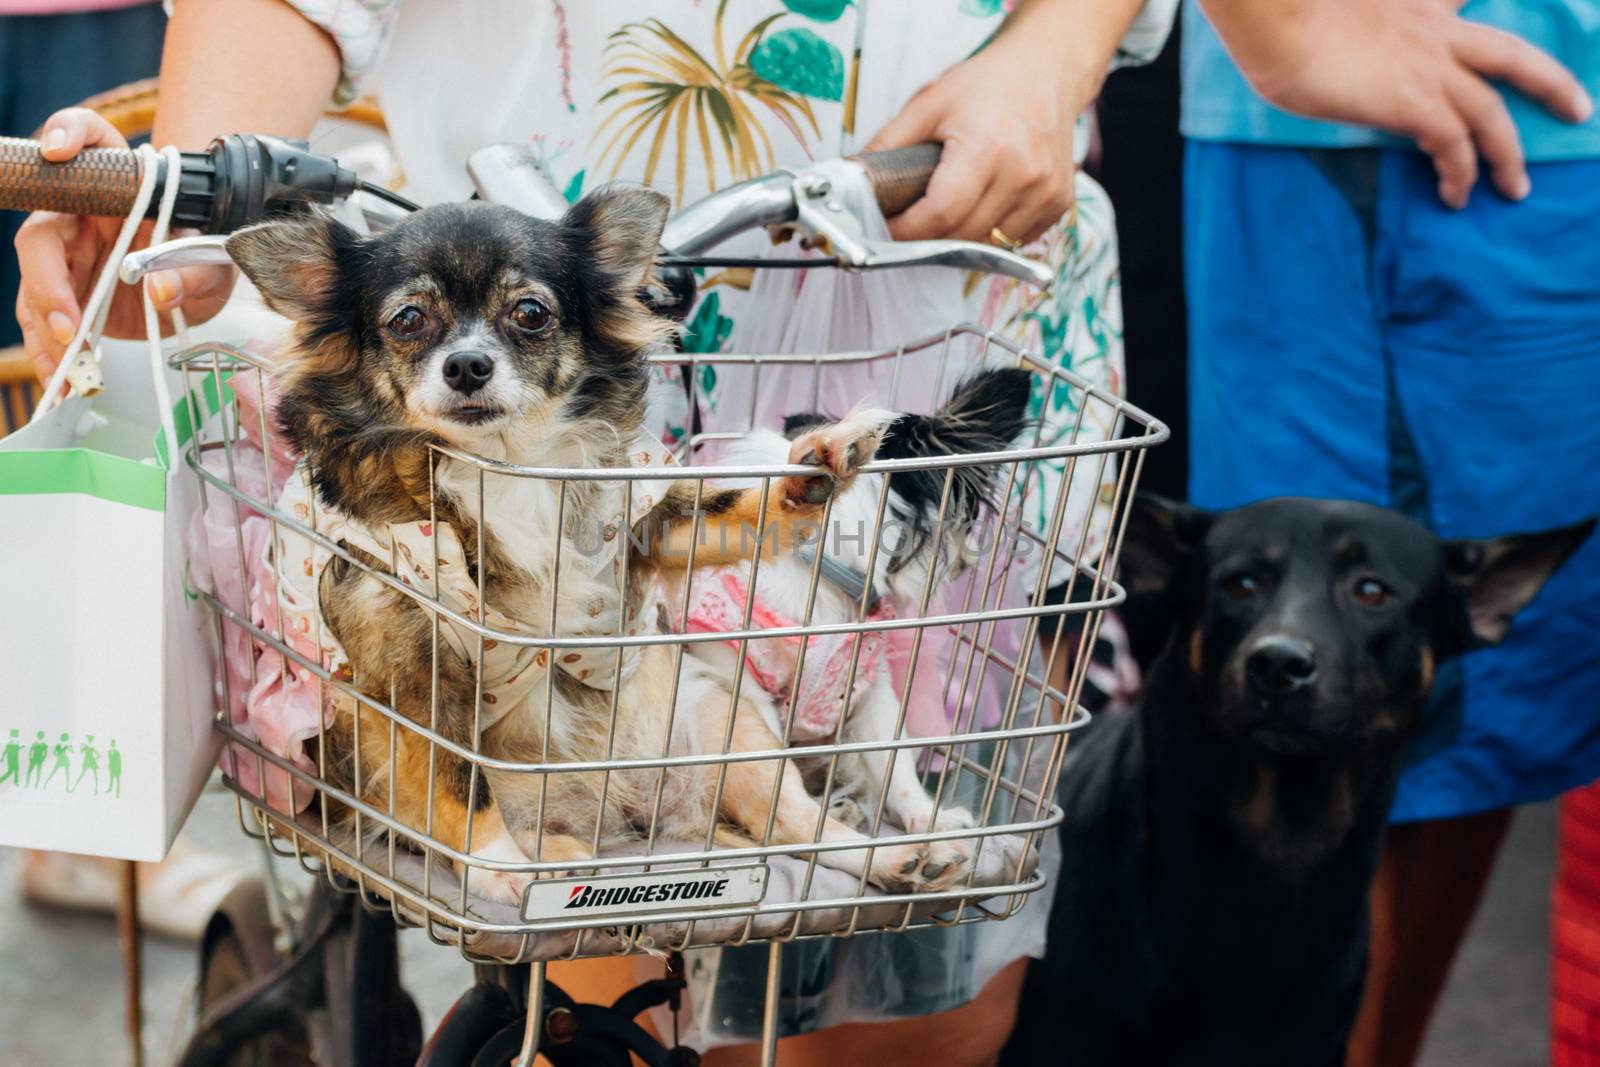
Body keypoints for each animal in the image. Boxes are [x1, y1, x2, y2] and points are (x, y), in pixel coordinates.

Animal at [224, 189, 972, 902]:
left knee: (800, 828)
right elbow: (454, 777)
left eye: (530, 313)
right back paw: (543, 856)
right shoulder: (404, 669)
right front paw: (496, 864)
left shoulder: (646, 529)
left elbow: (732, 508)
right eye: (408, 320)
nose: (467, 364)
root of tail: (639, 821)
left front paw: (813, 471)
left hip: (724, 723)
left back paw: (904, 855)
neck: (506, 465)